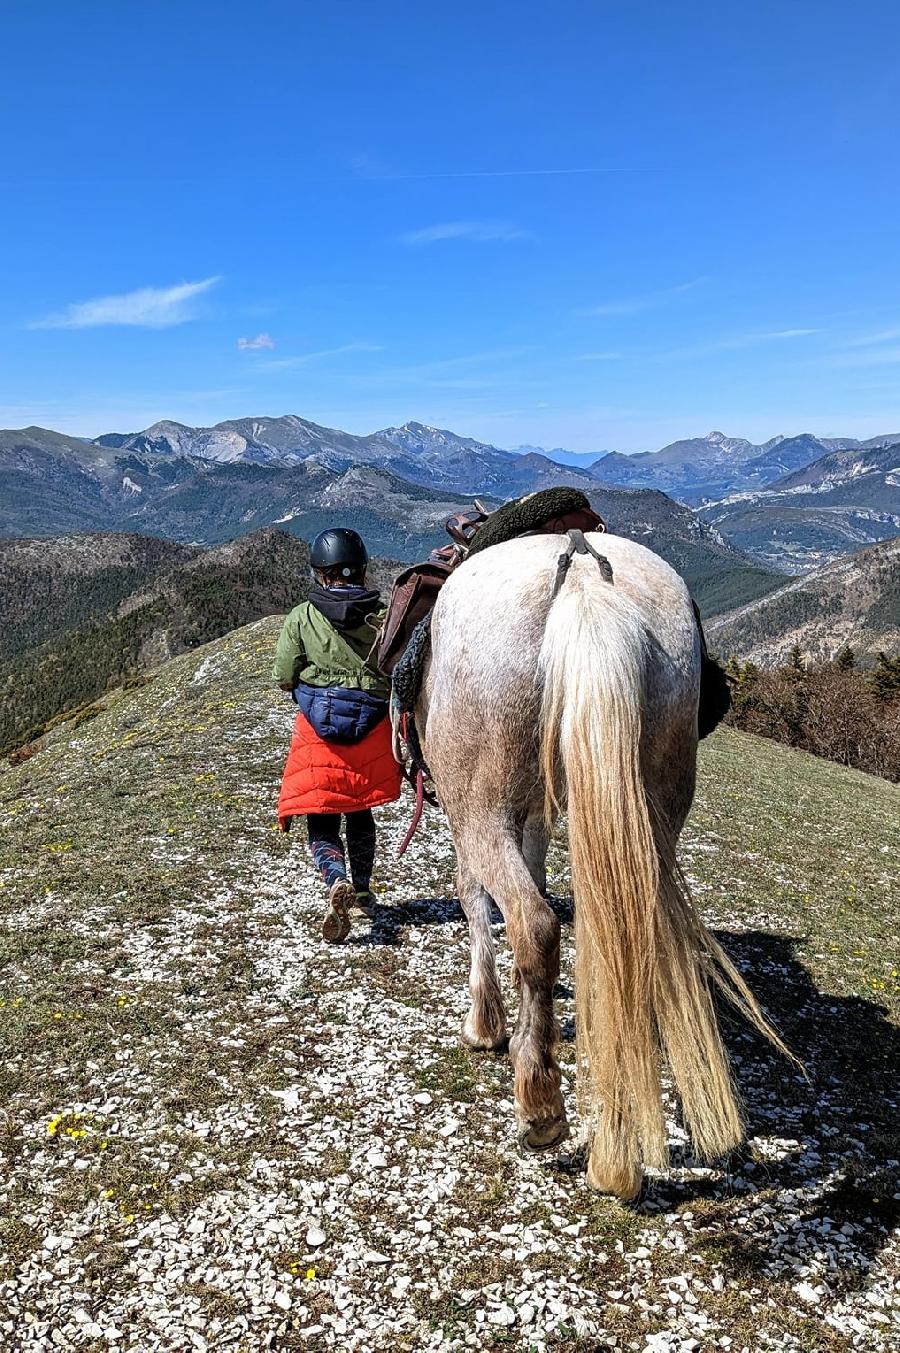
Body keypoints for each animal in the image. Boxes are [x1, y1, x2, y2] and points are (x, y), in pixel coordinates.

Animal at [414, 527, 784, 1196]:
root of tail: (584, 573)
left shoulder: (469, 814)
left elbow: (475, 900)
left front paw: (485, 1024)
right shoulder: (537, 810)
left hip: (480, 807)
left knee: (534, 923)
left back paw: (540, 1106)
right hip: (653, 811)